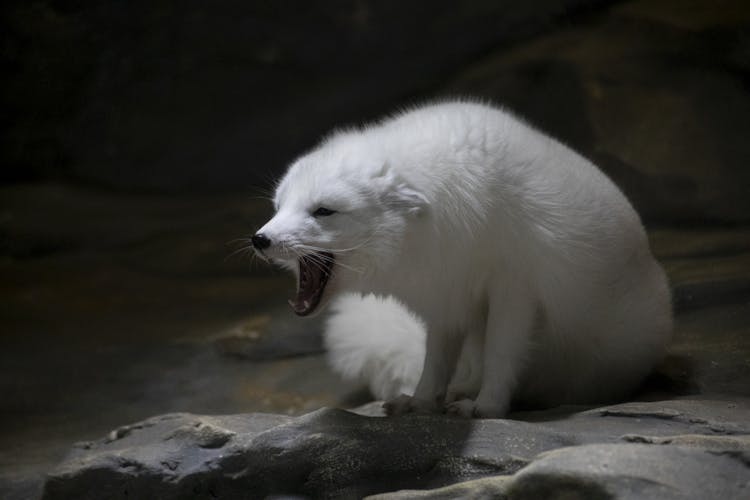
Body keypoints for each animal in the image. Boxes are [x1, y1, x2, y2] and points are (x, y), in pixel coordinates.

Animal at [254, 99, 676, 416]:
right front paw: (422, 401)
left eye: (323, 211)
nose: (259, 239)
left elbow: (502, 353)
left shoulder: (514, 287)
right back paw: (461, 390)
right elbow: (436, 359)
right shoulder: (447, 292)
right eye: (279, 206)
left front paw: (488, 408)